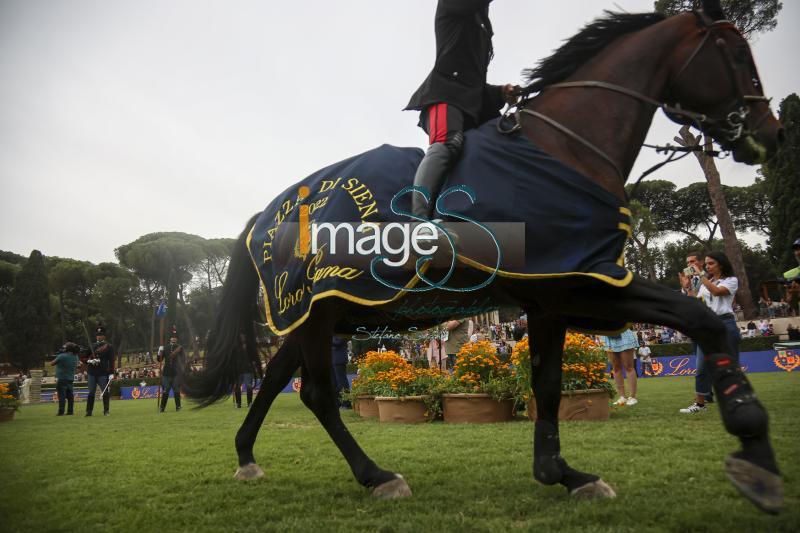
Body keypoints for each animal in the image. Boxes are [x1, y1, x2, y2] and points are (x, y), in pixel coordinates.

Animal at [184, 2, 784, 512]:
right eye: (737, 55)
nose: (770, 135)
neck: (564, 149)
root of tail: (269, 214)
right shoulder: (589, 282)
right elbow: (708, 321)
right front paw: (754, 449)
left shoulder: (550, 300)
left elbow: (547, 385)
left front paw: (563, 474)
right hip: (317, 313)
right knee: (318, 395)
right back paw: (377, 475)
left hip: (317, 312)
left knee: (273, 378)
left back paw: (247, 457)